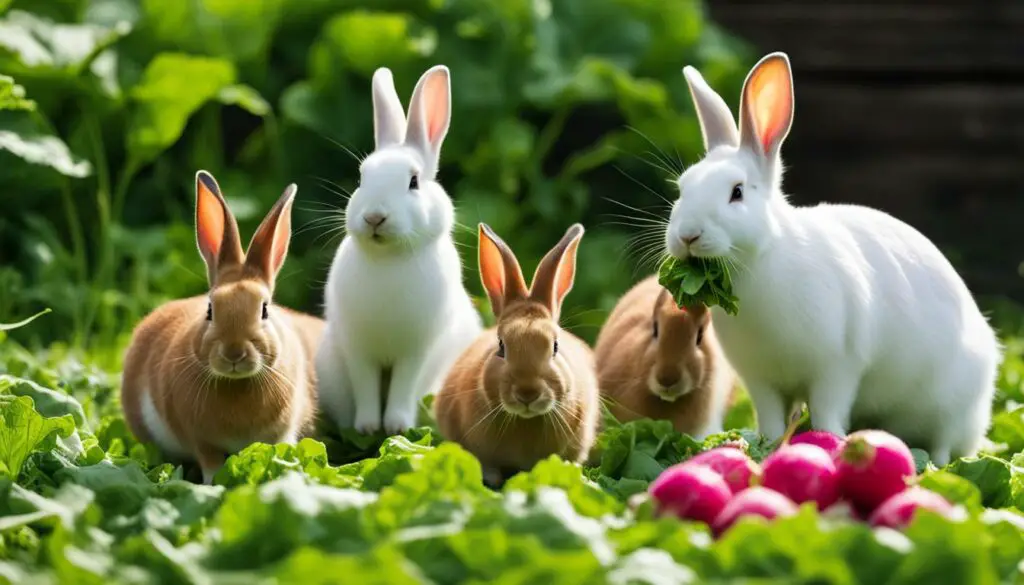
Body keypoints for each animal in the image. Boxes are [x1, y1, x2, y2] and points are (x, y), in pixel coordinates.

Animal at [121, 170, 325, 485]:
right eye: (210, 310)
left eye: (265, 309)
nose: (234, 353)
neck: (237, 383)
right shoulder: (203, 442)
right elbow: (211, 466)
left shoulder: (282, 434)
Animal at [315, 66, 483, 436]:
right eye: (361, 179)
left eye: (414, 182)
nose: (374, 217)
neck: (389, 259)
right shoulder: (357, 348)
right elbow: (365, 385)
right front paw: (366, 427)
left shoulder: (416, 351)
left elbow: (404, 385)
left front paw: (396, 427)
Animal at [663, 50, 999, 465]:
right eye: (682, 188)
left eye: (737, 192)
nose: (687, 235)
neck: (761, 261)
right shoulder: (761, 381)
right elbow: (772, 422)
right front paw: (766, 448)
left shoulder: (837, 368)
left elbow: (827, 412)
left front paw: (830, 440)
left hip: (952, 407)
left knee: (943, 448)